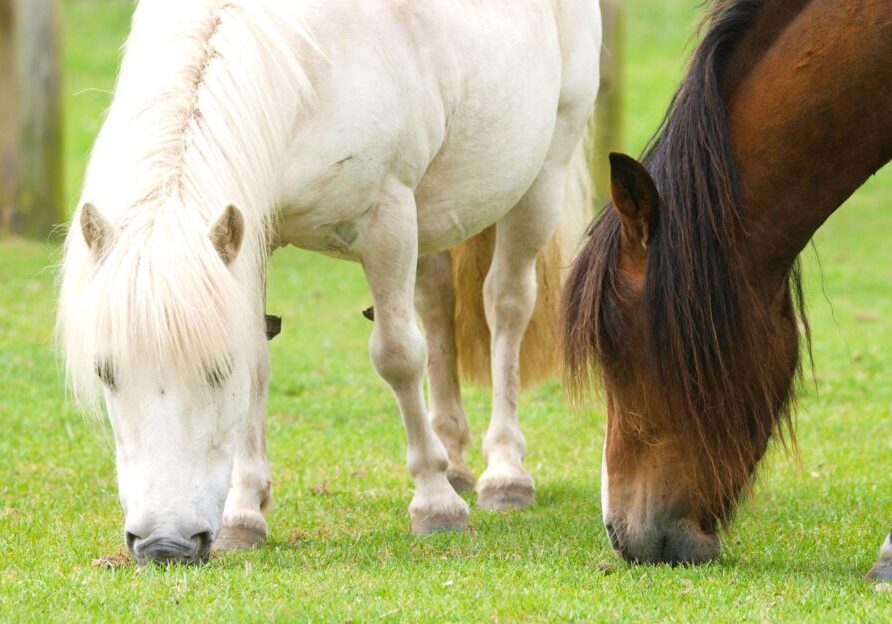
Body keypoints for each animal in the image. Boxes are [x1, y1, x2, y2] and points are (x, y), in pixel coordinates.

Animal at [57, 0, 601, 564]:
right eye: (105, 373)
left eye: (218, 370)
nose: (165, 544)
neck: (301, 72)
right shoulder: (255, 233)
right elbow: (263, 361)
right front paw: (244, 513)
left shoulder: (387, 219)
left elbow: (398, 357)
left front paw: (435, 504)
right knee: (435, 304)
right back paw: (453, 460)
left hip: (543, 176)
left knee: (506, 306)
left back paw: (505, 473)